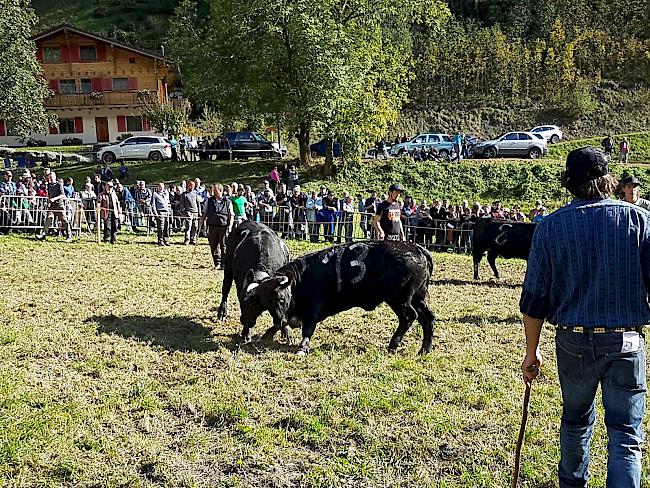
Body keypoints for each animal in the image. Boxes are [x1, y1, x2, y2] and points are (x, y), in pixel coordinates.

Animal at [239, 240, 436, 354]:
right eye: (267, 303)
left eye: (280, 299)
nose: (280, 319)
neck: (300, 279)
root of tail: (418, 249)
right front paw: (267, 335)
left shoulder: (312, 308)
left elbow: (307, 329)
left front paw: (303, 347)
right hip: (418, 297)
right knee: (427, 318)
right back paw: (424, 350)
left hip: (399, 299)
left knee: (409, 317)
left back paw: (393, 345)